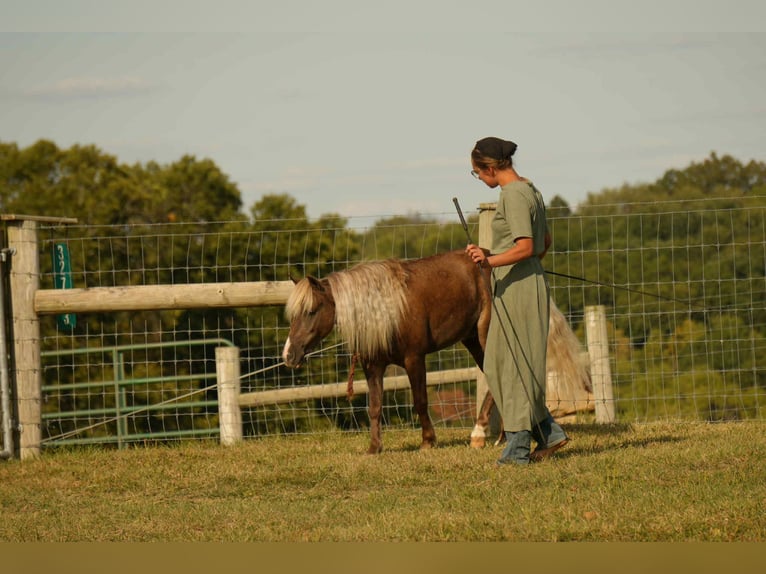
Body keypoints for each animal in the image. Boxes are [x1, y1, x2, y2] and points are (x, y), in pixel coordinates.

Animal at [282, 249, 590, 454]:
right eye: (293, 314)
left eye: (311, 311)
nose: (289, 355)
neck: (387, 308)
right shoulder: (373, 366)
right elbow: (375, 406)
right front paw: (374, 448)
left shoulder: (414, 359)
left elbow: (420, 401)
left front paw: (428, 441)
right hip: (473, 340)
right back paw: (501, 435)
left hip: (487, 337)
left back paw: (480, 433)